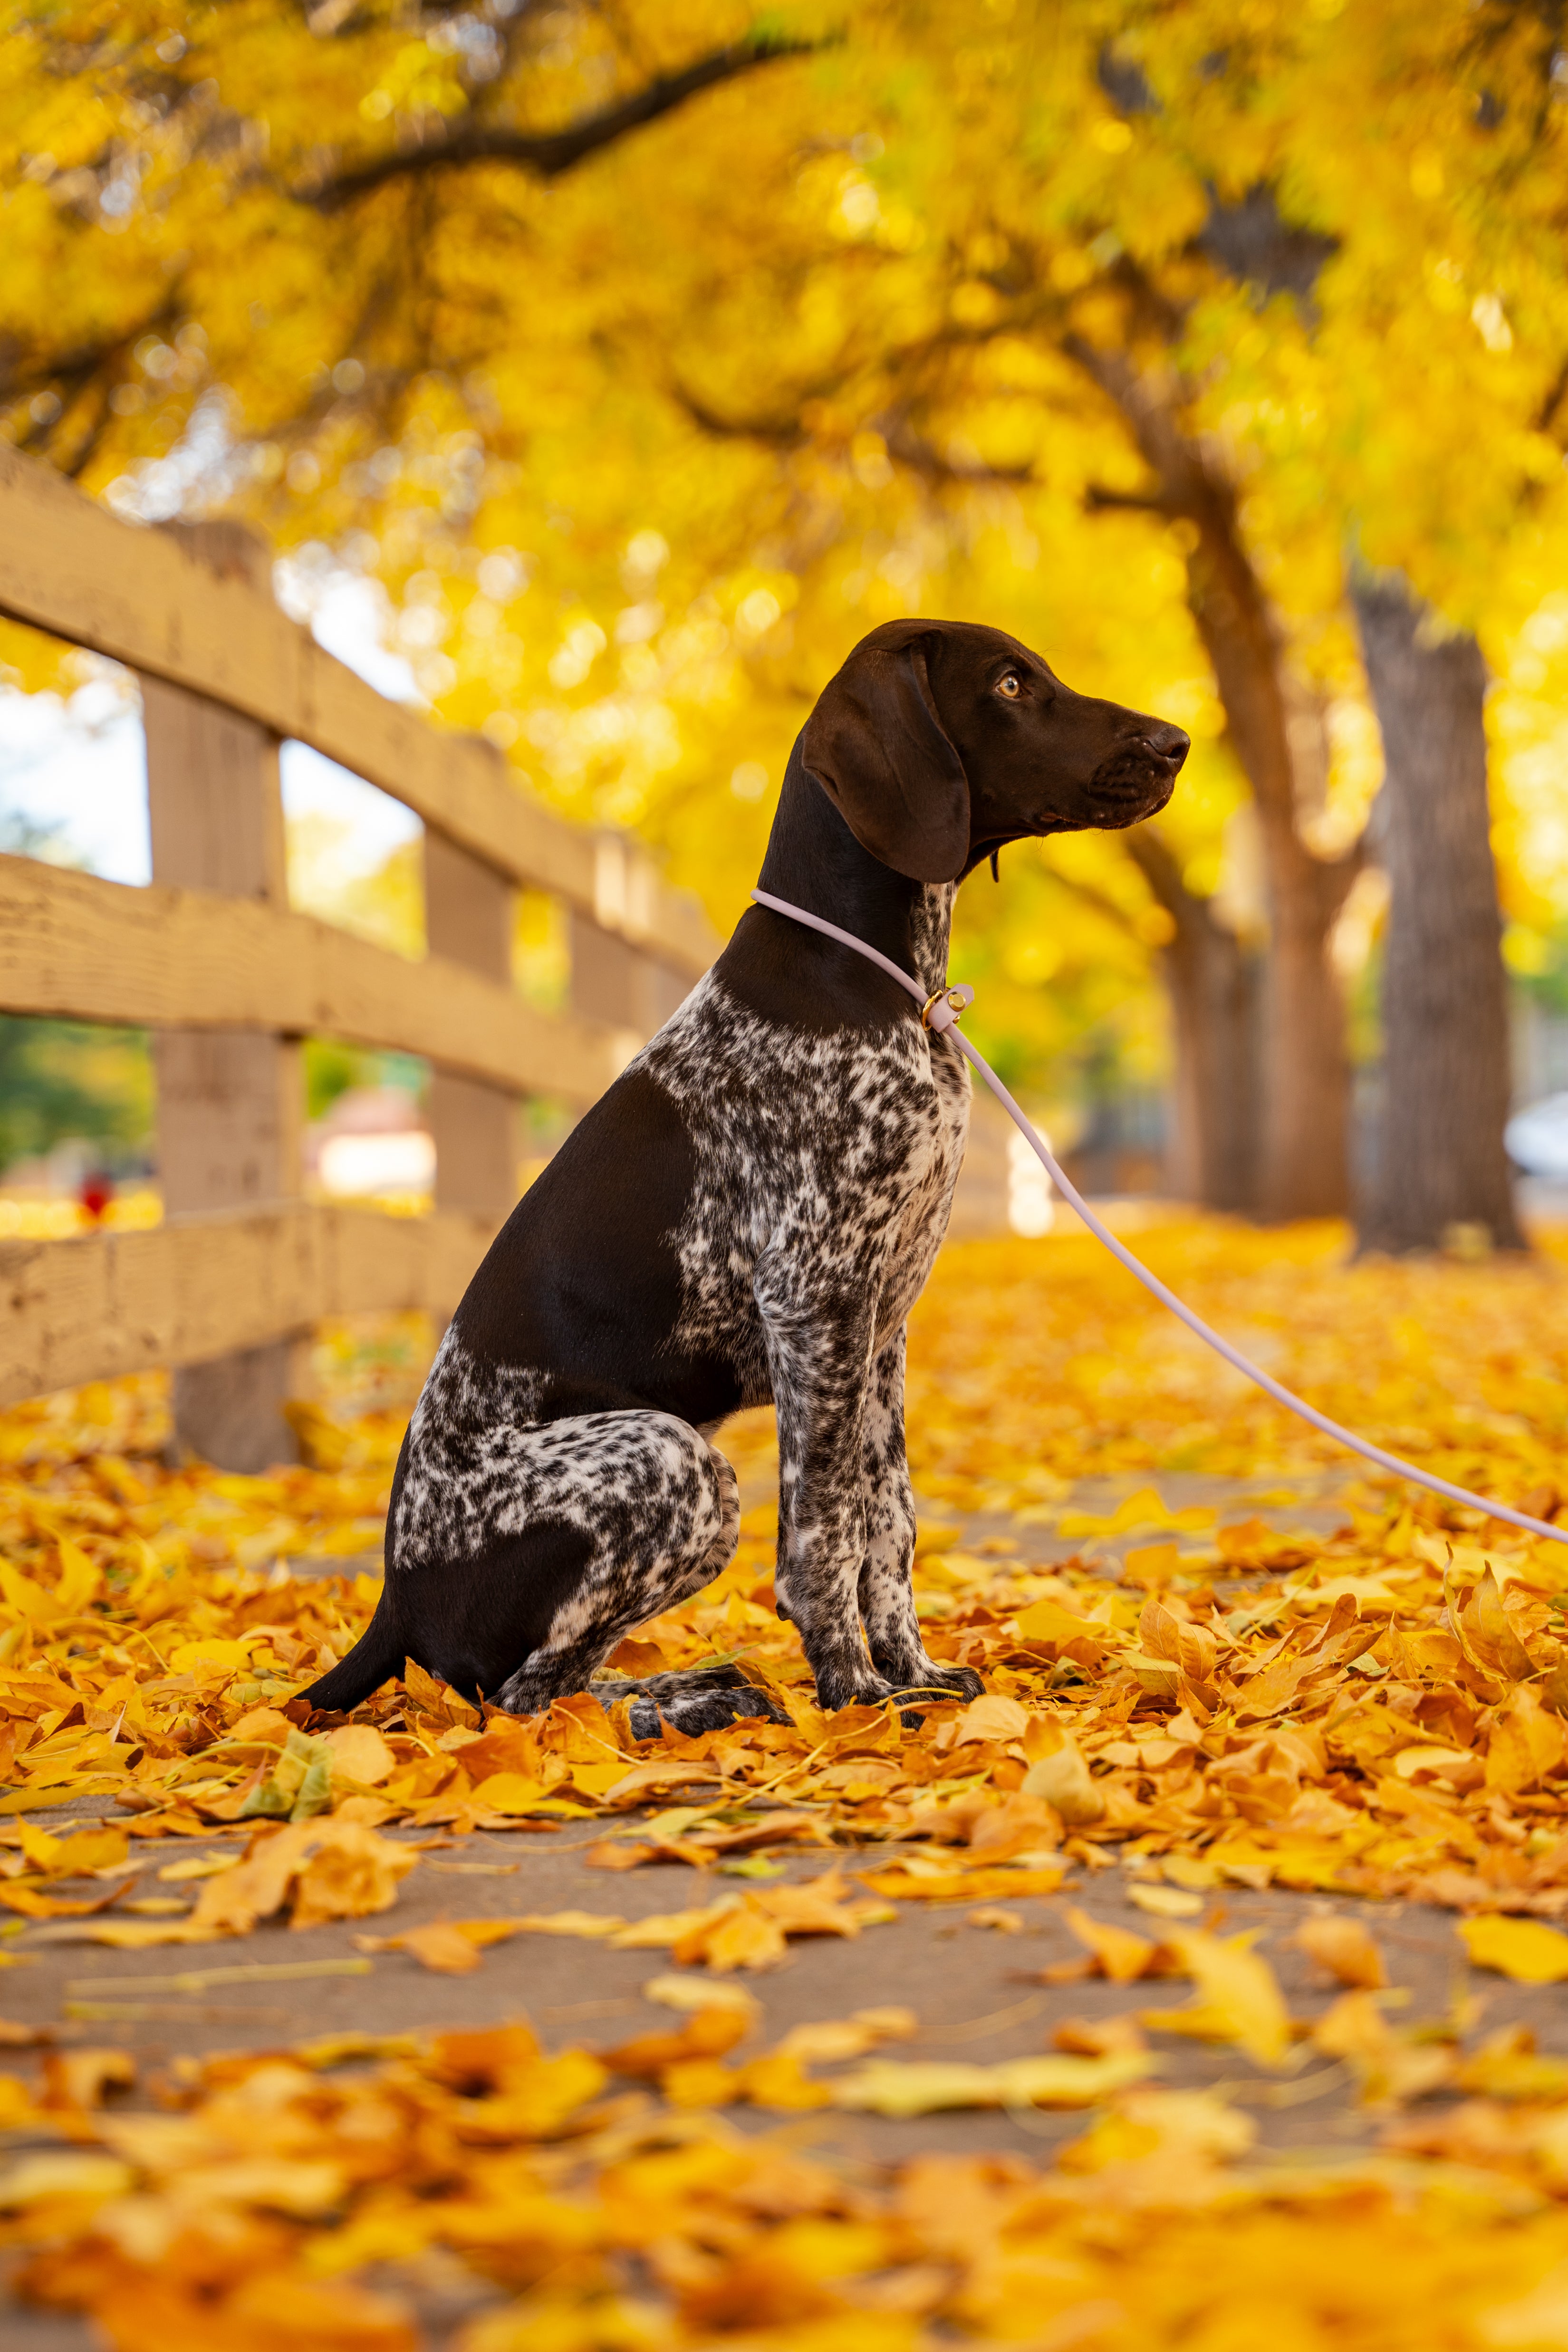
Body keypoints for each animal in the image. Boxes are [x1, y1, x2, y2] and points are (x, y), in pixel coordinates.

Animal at [303, 616, 1189, 1740]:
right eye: (1007, 682)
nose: (1174, 743)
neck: (875, 981)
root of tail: (394, 1597)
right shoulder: (814, 1298)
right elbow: (822, 1531)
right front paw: (855, 1697)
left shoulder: (878, 1323)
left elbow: (888, 1519)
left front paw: (910, 1674)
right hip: (669, 1458)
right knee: (521, 1702)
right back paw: (677, 1708)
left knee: (560, 1685)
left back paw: (695, 1690)